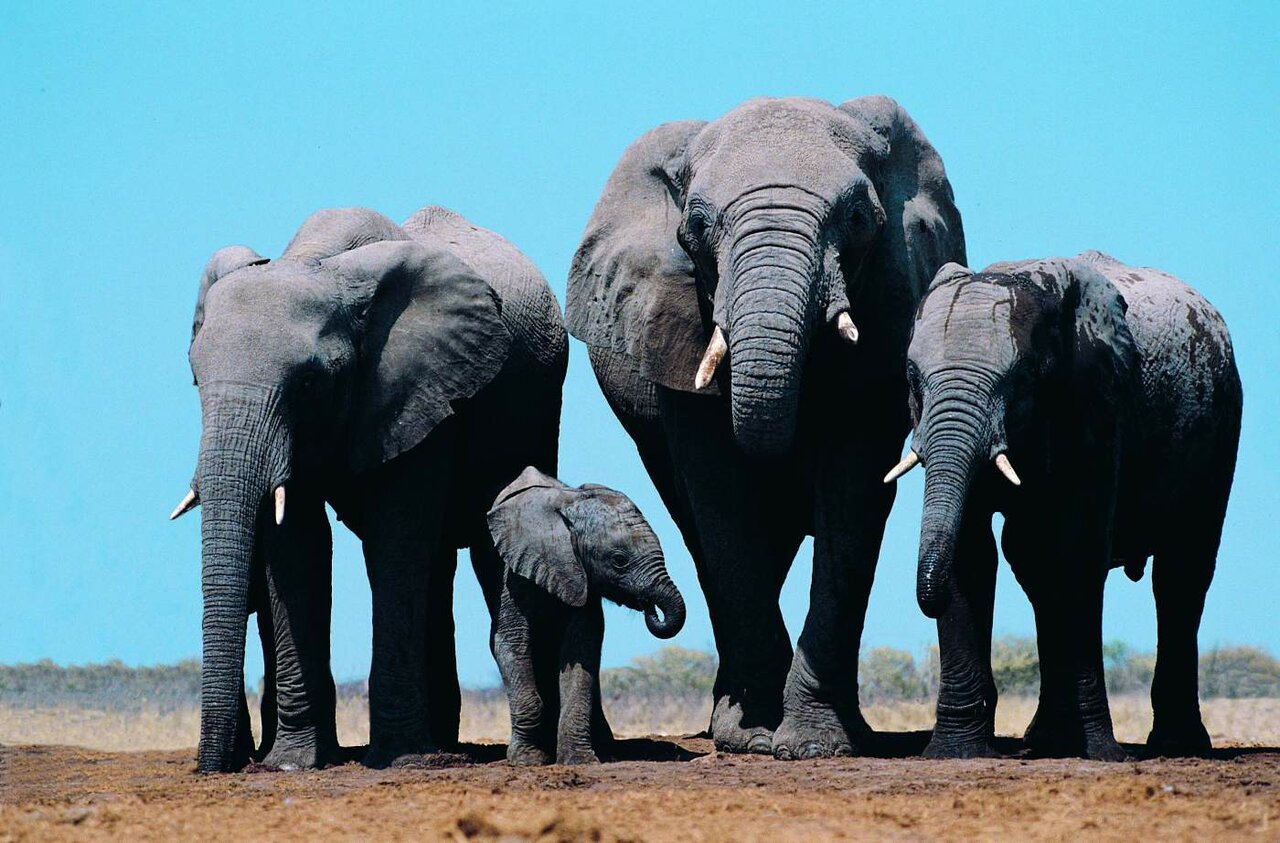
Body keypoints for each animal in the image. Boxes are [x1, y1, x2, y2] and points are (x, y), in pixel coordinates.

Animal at [174, 205, 567, 772]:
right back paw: (443, 742)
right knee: (437, 563)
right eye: (195, 379)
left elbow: (395, 539)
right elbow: (298, 547)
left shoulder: (422, 386)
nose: (215, 768)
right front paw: (294, 763)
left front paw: (400, 758)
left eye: (309, 383)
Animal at [485, 466, 685, 765]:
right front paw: (527, 760)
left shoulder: (583, 582)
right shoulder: (517, 573)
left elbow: (580, 652)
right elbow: (510, 643)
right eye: (619, 560)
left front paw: (580, 760)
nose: (650, 607)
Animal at [565, 96, 965, 757]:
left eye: (858, 218)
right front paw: (752, 738)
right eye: (696, 227)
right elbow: (722, 497)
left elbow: (852, 494)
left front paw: (816, 745)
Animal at [888, 250, 1241, 759]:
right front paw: (956, 753)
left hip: (1221, 424)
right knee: (1033, 566)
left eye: (1020, 380)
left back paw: (1178, 746)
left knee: (1182, 573)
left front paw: (1101, 754)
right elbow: (971, 553)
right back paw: (1048, 739)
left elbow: (1077, 551)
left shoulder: (1097, 402)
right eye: (913, 378)